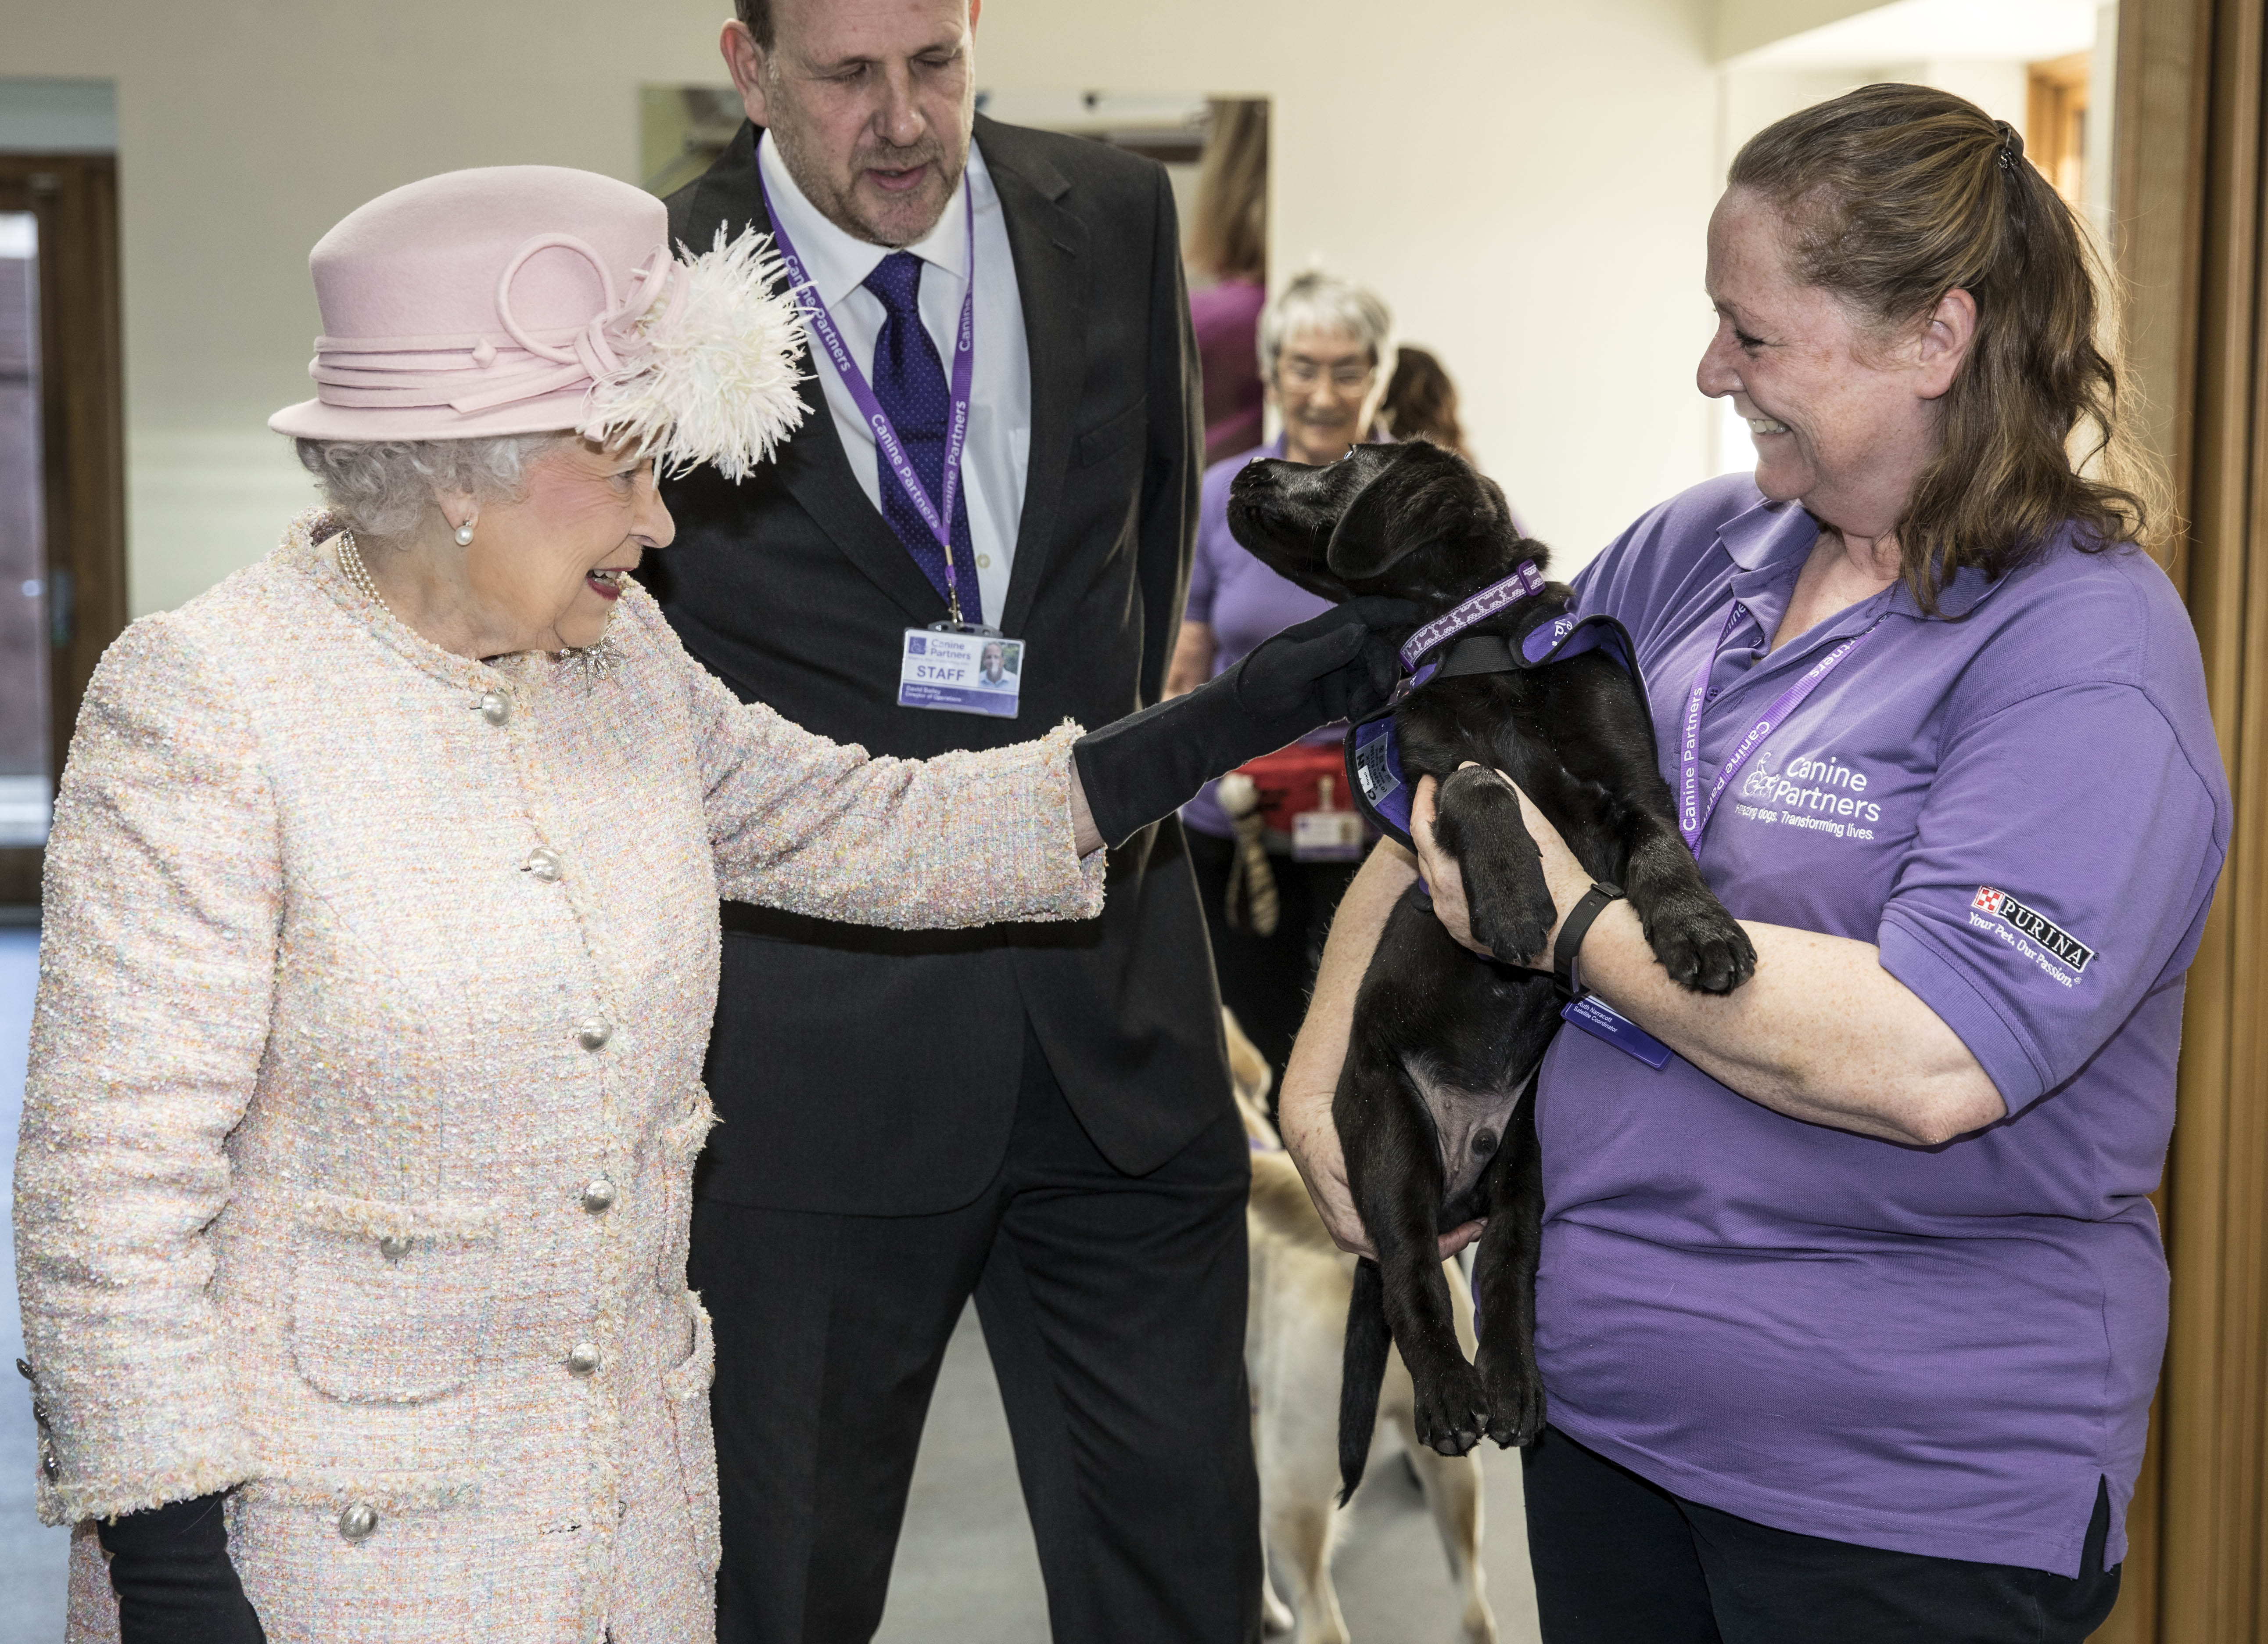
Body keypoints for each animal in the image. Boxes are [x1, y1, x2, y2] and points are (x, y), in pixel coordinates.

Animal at [1224, 442, 1751, 1497]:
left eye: (1346, 461)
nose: (1247, 471)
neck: (1481, 641)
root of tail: (1459, 1171)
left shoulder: (1631, 789)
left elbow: (1661, 853)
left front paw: (1698, 929)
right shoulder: (1424, 781)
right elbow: (1478, 780)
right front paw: (1511, 897)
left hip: (1529, 1158)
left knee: (1505, 1269)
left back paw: (1513, 1388)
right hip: (1389, 1139)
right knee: (1412, 1279)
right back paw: (1448, 1399)